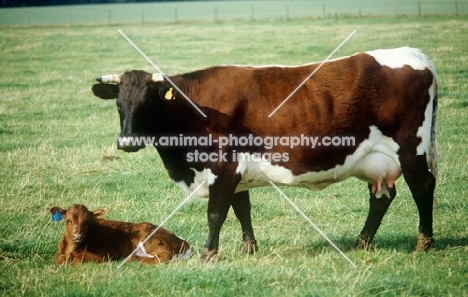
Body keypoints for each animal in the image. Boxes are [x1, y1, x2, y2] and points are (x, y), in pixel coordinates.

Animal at [49, 204, 192, 264]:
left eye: (87, 221)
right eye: (68, 220)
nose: (77, 236)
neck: (71, 249)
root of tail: (184, 242)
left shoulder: (101, 255)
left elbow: (77, 259)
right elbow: (58, 258)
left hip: (149, 239)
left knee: (164, 257)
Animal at [92, 45, 438, 260]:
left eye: (149, 103)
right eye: (119, 104)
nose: (127, 142)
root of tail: (414, 54)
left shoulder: (222, 166)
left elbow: (216, 213)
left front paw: (208, 254)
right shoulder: (237, 172)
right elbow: (241, 208)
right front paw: (249, 249)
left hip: (411, 148)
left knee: (423, 187)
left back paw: (423, 244)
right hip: (377, 161)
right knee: (381, 197)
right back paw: (360, 243)